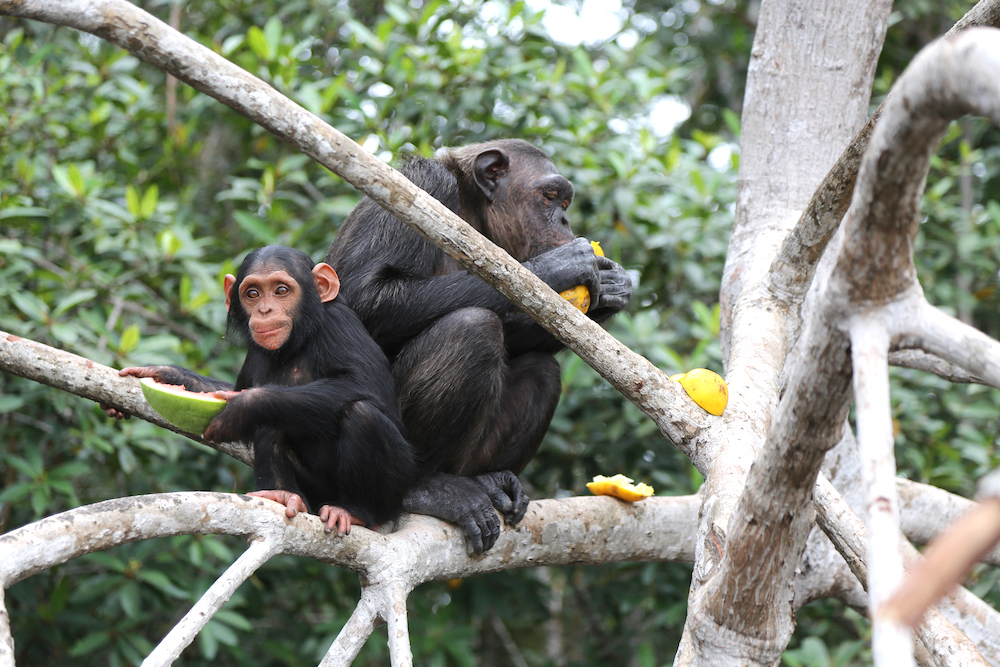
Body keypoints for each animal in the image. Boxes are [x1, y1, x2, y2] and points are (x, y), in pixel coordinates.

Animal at [112, 245, 414, 536]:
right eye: (253, 294)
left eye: (281, 290)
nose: (265, 310)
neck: (295, 342)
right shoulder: (253, 353)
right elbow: (237, 388)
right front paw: (164, 373)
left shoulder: (339, 326)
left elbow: (362, 383)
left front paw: (244, 406)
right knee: (275, 420)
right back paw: (283, 494)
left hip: (396, 487)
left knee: (361, 414)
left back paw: (355, 511)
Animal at [324, 138, 628, 552]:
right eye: (551, 197)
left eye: (564, 203)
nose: (564, 222)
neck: (473, 214)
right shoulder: (423, 186)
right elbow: (364, 295)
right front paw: (562, 264)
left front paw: (610, 291)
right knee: (472, 328)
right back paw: (427, 489)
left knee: (541, 369)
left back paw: (490, 480)